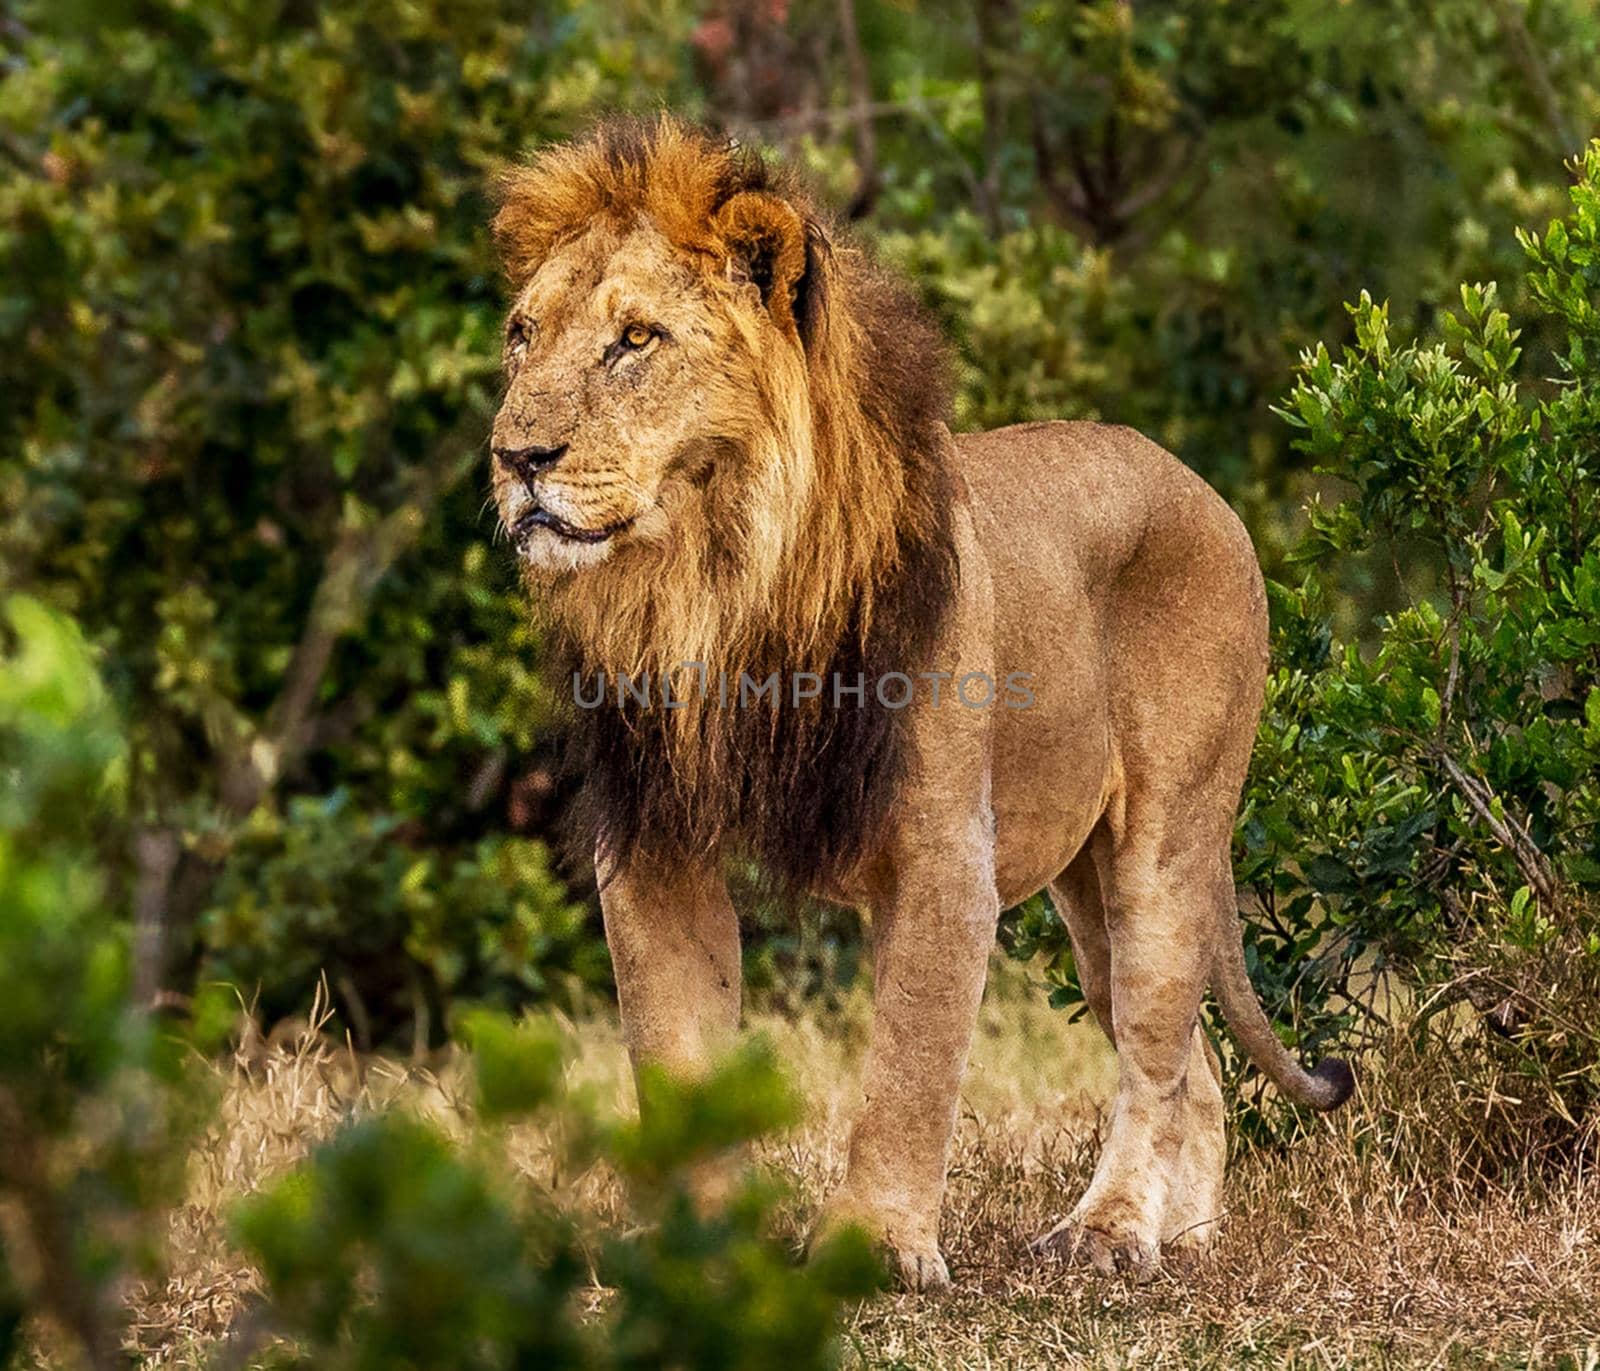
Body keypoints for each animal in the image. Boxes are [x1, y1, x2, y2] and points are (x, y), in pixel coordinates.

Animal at [486, 115, 1350, 1286]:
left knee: (1156, 1045)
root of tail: (1199, 484)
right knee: (1190, 1069)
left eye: (635, 340)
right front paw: (691, 1251)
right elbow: (673, 1053)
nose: (515, 457)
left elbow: (908, 1066)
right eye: (522, 335)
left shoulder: (944, 852)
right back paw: (1182, 1237)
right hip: (1085, 888)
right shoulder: (656, 844)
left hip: (1165, 841)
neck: (719, 587)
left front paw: (876, 1248)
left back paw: (1109, 1232)